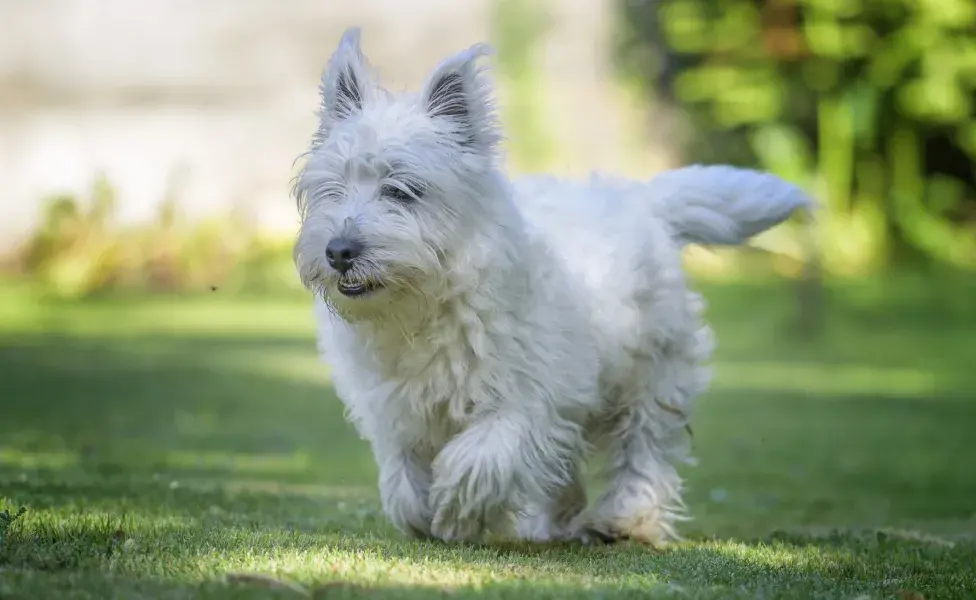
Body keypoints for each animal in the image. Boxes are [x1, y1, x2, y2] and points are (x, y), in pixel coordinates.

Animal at [294, 27, 812, 544]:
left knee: (643, 448)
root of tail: (645, 200)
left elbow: (484, 454)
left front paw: (457, 511)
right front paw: (422, 511)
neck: (424, 305)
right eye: (333, 188)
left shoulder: (525, 396)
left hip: (650, 373)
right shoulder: (395, 407)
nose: (339, 252)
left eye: (402, 190)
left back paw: (623, 519)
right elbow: (403, 470)